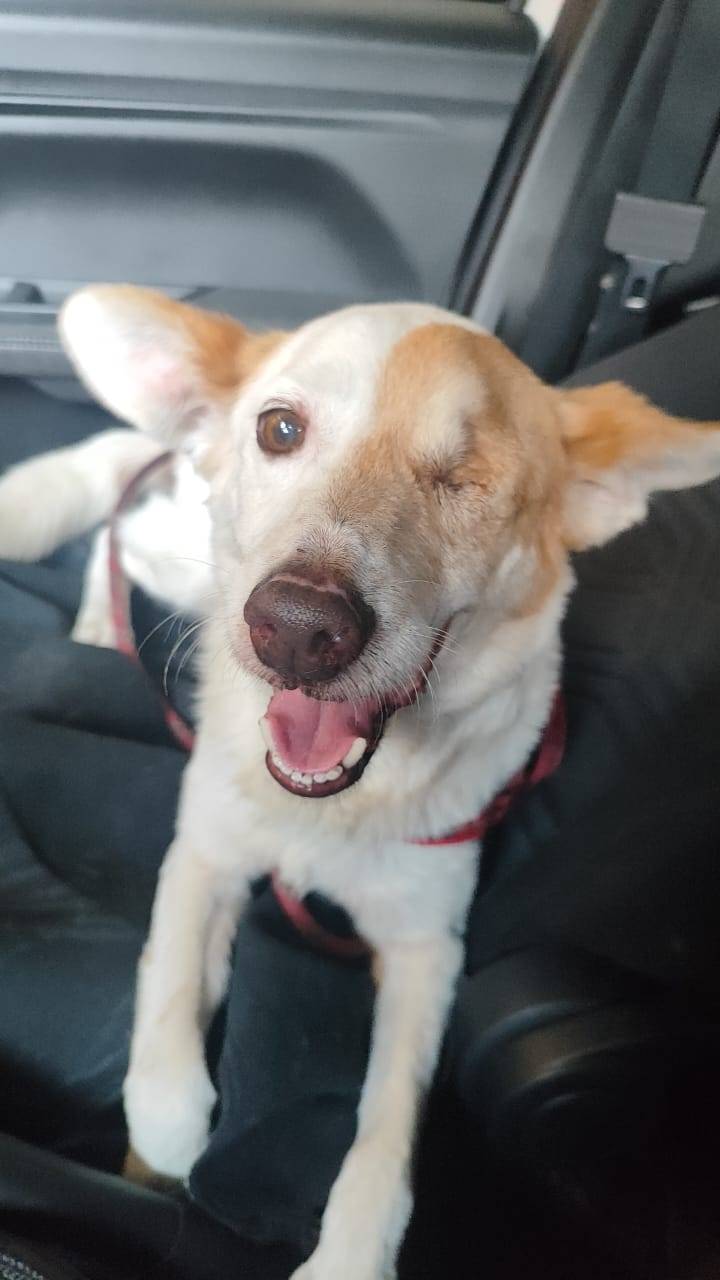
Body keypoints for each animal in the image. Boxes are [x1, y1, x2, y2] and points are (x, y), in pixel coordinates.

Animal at [2, 285, 720, 1280]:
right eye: (281, 429)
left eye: (467, 476)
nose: (299, 629)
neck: (333, 814)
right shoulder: (204, 852)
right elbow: (170, 995)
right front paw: (168, 1129)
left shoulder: (428, 949)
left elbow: (386, 1128)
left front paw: (351, 1254)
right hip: (185, 569)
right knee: (121, 509)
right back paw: (101, 621)